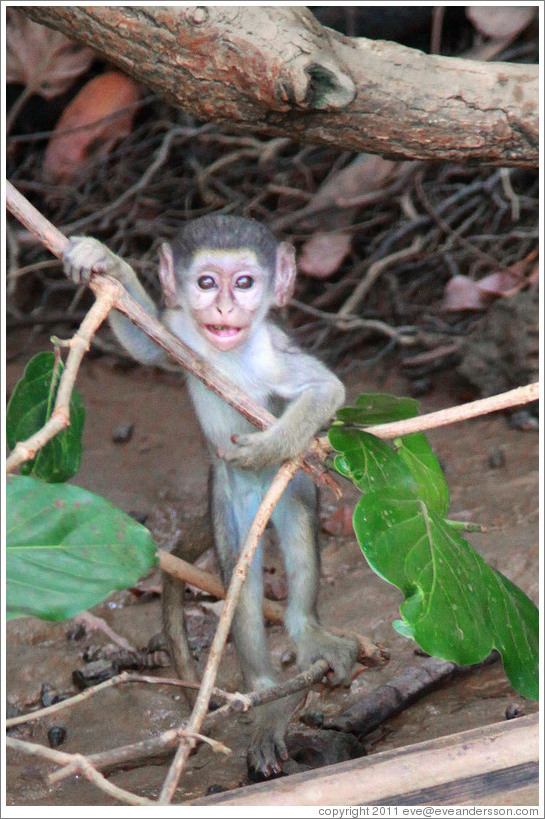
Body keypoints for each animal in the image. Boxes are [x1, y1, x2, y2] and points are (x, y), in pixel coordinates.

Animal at [63, 215, 354, 780]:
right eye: (205, 282)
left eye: (244, 282)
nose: (223, 308)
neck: (233, 354)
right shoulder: (180, 336)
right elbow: (147, 345)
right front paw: (107, 262)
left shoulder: (275, 352)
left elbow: (326, 389)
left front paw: (270, 443)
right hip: (230, 502)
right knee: (241, 582)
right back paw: (264, 700)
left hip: (294, 489)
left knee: (299, 541)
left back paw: (306, 633)